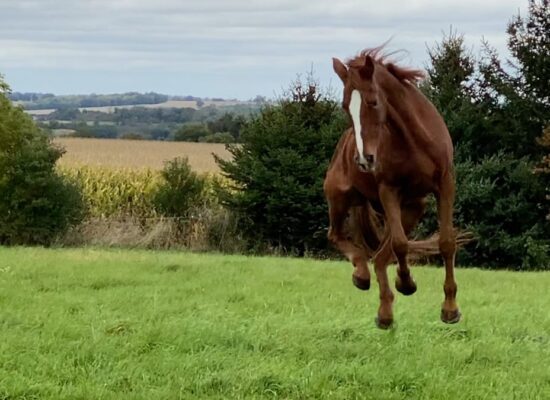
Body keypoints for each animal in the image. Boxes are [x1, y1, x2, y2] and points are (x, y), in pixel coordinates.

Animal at [326, 47, 464, 330]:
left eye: (373, 102)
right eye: (345, 106)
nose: (364, 160)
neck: (413, 139)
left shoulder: (445, 185)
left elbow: (446, 242)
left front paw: (450, 309)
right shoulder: (388, 190)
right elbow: (401, 244)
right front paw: (407, 283)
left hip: (412, 209)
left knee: (380, 255)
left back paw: (385, 310)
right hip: (339, 196)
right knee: (338, 236)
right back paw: (364, 278)